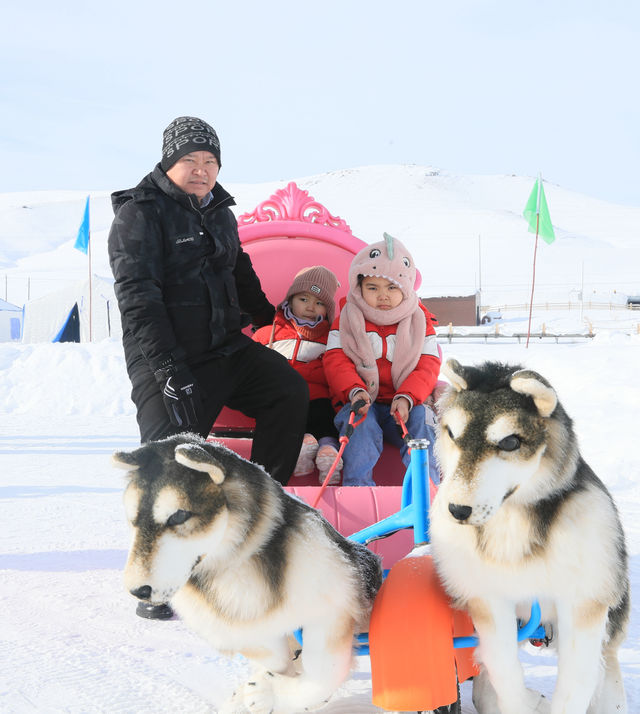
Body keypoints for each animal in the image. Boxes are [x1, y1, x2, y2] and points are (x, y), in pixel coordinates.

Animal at [113, 432, 382, 708]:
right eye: (133, 520)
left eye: (178, 516)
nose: (137, 590)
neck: (231, 568)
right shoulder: (242, 629)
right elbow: (275, 657)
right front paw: (265, 684)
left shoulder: (334, 607)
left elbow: (322, 675)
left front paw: (268, 691)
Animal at [430, 362, 632, 712]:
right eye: (452, 434)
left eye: (510, 442)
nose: (456, 509)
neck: (513, 520)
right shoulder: (489, 601)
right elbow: (504, 674)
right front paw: (526, 700)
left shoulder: (583, 603)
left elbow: (575, 685)